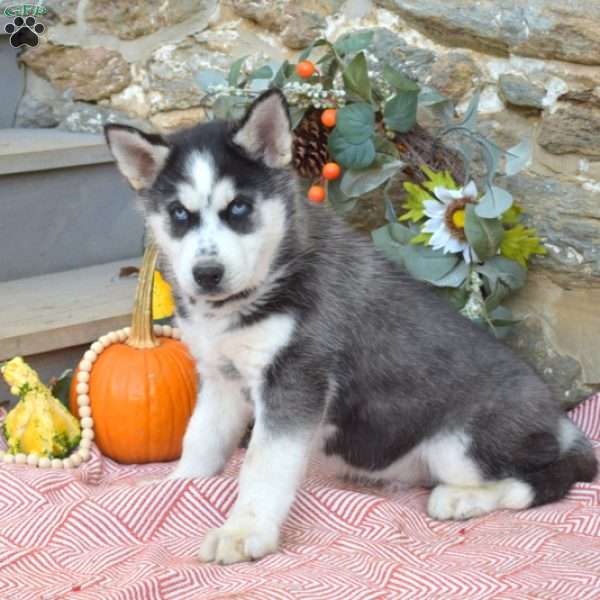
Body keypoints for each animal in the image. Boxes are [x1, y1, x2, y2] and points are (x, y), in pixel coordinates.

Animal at [105, 89, 596, 564]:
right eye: (179, 214)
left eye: (239, 208)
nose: (207, 274)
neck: (258, 289)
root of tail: (561, 421)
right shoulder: (221, 379)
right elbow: (200, 441)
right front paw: (176, 486)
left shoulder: (296, 379)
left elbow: (262, 464)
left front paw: (245, 532)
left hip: (461, 443)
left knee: (551, 476)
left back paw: (461, 499)